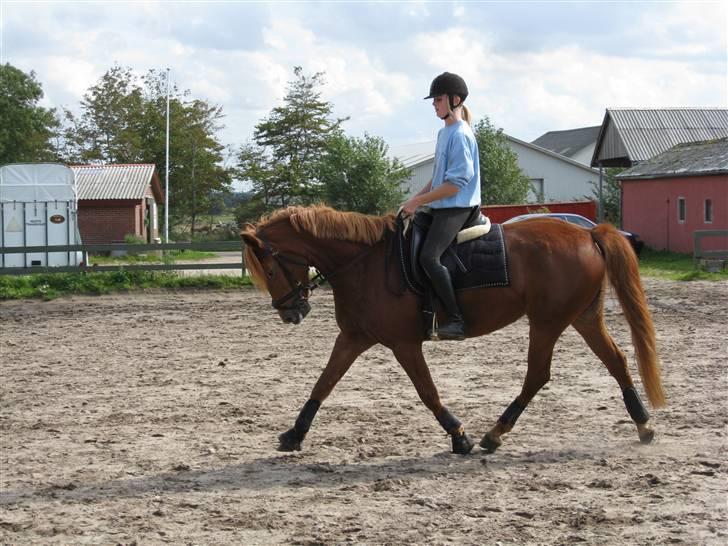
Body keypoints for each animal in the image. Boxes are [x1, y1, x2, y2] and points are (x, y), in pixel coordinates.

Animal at [240, 202, 664, 452]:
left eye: (270, 269)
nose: (290, 312)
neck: (364, 263)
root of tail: (587, 233)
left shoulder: (403, 343)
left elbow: (427, 392)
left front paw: (459, 436)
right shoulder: (354, 337)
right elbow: (324, 383)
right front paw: (294, 434)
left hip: (547, 322)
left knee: (538, 375)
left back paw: (494, 434)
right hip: (581, 317)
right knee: (616, 361)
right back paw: (642, 423)